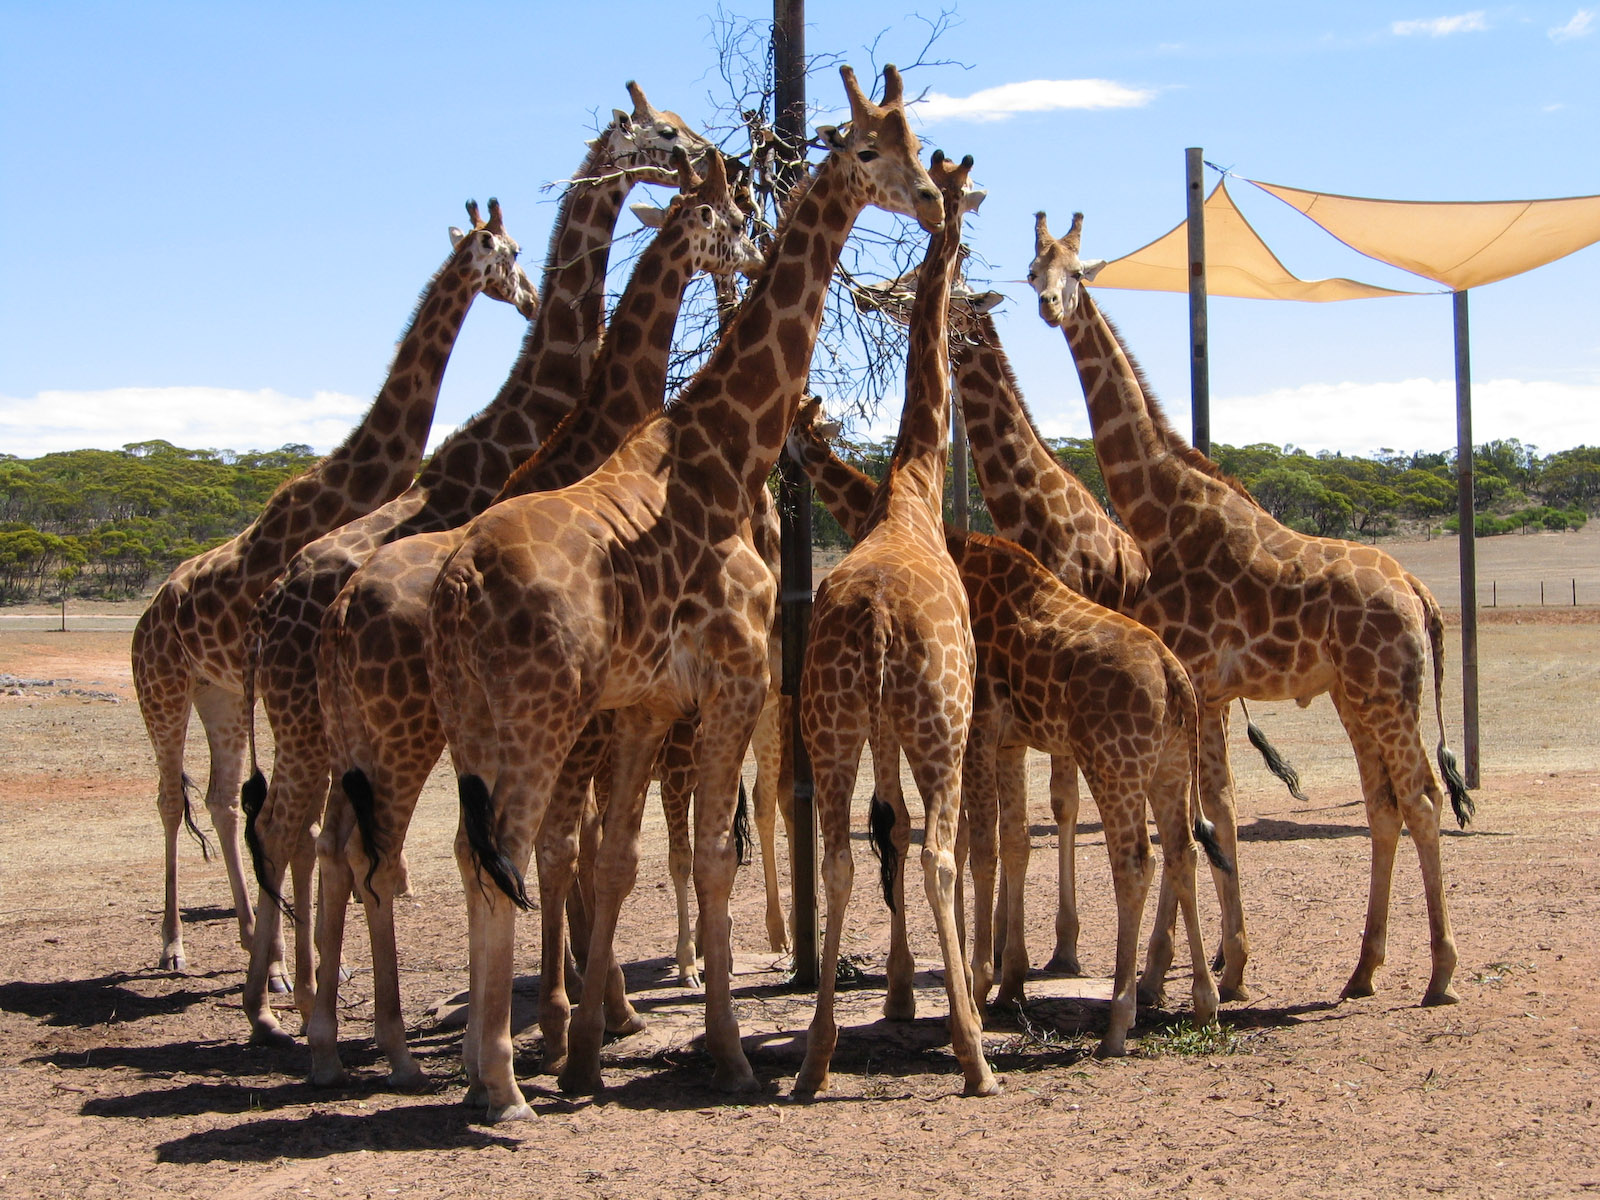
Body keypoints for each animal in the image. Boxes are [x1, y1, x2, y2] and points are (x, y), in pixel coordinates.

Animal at [130, 200, 538, 977]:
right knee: (171, 798)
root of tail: (145, 613)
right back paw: (173, 946)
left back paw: (252, 940)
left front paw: (323, 955)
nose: (532, 299)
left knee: (223, 800)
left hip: (217, 691)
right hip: (161, 688)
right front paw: (323, 959)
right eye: (506, 253)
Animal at [235, 123, 721, 1051]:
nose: (527, 297)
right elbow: (566, 842)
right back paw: (294, 1013)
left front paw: (576, 998)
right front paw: (590, 1006)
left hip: (338, 730)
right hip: (343, 728)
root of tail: (284, 606)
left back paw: (316, 1011)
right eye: (664, 132)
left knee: (324, 840)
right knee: (306, 834)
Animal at [424, 65, 944, 1121]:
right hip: (534, 719)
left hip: (475, 722)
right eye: (870, 148)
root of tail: (456, 583)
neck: (714, 452)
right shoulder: (730, 683)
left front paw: (588, 1055)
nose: (932, 198)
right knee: (507, 857)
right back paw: (500, 1086)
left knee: (474, 853)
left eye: (920, 142)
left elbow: (624, 857)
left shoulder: (647, 702)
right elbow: (708, 856)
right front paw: (730, 1052)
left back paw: (491, 1065)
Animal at [1029, 210, 1473, 1006]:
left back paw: (1440, 976)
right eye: (1031, 270)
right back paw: (1362, 970)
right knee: (1385, 806)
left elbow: (1202, 819)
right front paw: (1215, 970)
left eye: (1077, 271)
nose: (1050, 306)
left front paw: (1190, 975)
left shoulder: (1201, 684)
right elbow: (1207, 816)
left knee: (1421, 800)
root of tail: (1421, 595)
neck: (1158, 514)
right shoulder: (1202, 693)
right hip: (1356, 696)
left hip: (1389, 693)